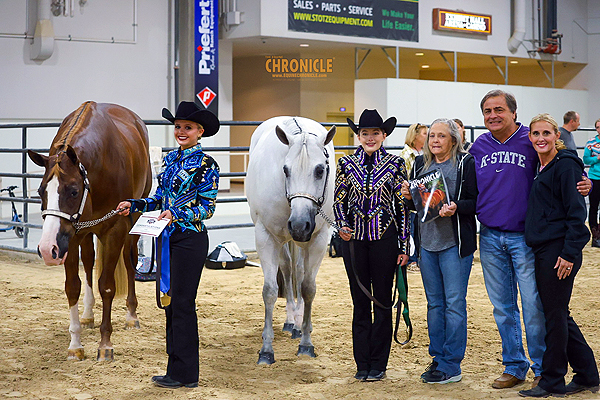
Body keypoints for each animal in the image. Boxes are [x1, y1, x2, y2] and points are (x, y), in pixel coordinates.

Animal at [28, 101, 152, 360]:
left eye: (74, 191)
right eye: (41, 191)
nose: (46, 249)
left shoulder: (115, 229)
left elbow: (107, 285)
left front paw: (105, 345)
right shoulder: (69, 237)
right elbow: (72, 286)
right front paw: (75, 344)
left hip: (134, 220)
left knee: (130, 261)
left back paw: (131, 316)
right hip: (83, 234)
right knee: (88, 262)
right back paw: (87, 315)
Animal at [245, 116, 338, 366]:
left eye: (320, 170)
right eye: (285, 170)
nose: (298, 225)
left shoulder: (318, 240)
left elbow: (308, 288)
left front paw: (306, 342)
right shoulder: (266, 237)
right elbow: (270, 290)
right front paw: (266, 349)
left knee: (298, 271)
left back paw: (299, 323)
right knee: (287, 269)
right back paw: (290, 320)